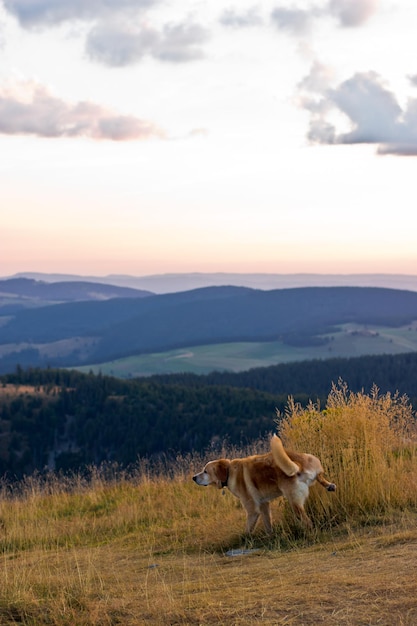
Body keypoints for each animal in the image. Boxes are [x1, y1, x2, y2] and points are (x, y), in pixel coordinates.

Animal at [192, 434, 334, 532]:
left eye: (205, 471)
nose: (193, 478)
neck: (229, 471)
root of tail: (297, 464)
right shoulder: (264, 505)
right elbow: (268, 524)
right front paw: (270, 536)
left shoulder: (252, 510)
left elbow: (247, 530)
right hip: (311, 459)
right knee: (319, 476)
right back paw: (330, 485)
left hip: (294, 502)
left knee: (307, 521)